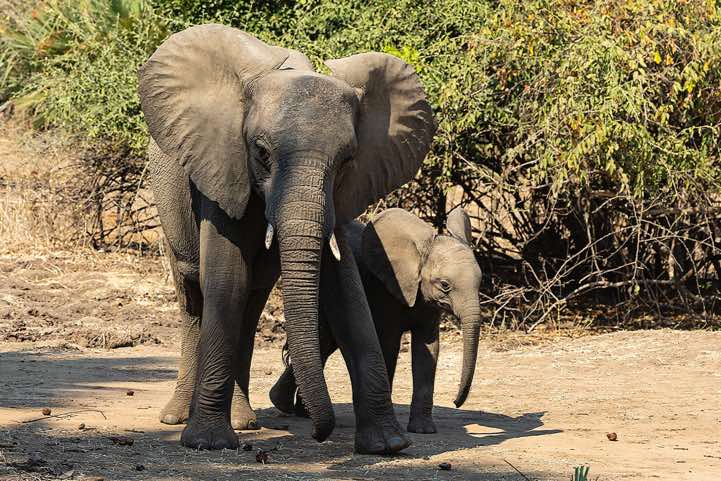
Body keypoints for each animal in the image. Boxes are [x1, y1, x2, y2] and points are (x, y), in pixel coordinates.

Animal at [138, 24, 435, 453]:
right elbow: (226, 277)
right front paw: (208, 443)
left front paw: (387, 445)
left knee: (251, 301)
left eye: (347, 161)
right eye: (261, 152)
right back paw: (178, 417)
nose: (317, 431)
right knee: (195, 295)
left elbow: (346, 290)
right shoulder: (223, 165)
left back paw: (243, 422)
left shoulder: (340, 195)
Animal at [270, 207, 482, 434]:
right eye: (444, 285)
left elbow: (428, 350)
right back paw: (283, 404)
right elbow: (389, 344)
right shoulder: (385, 289)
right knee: (323, 339)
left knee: (324, 343)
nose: (455, 402)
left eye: (480, 282)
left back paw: (300, 411)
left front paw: (423, 430)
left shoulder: (427, 304)